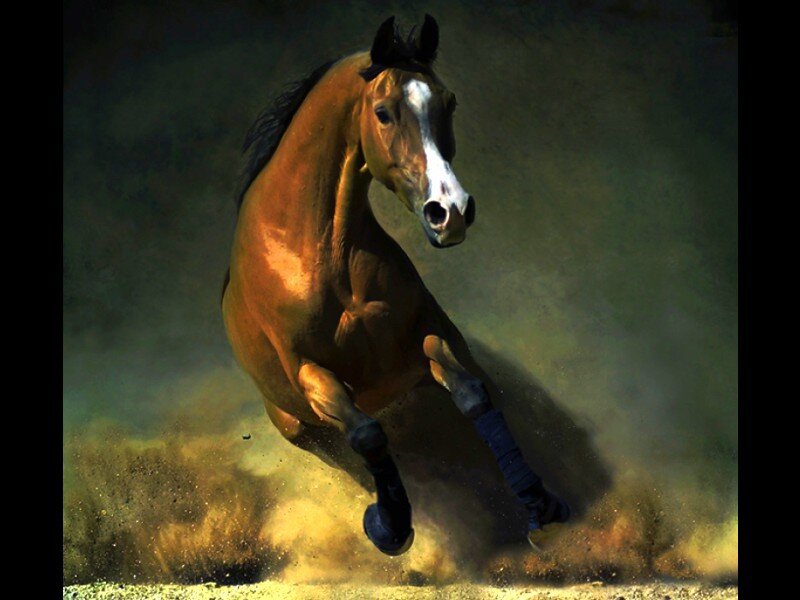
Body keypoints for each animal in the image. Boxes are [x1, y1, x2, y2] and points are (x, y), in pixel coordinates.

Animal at [222, 15, 570, 555]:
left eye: (449, 102)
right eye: (383, 113)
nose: (450, 212)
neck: (317, 251)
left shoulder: (428, 335)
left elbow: (474, 395)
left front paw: (537, 501)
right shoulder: (310, 372)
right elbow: (367, 435)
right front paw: (390, 525)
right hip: (297, 426)